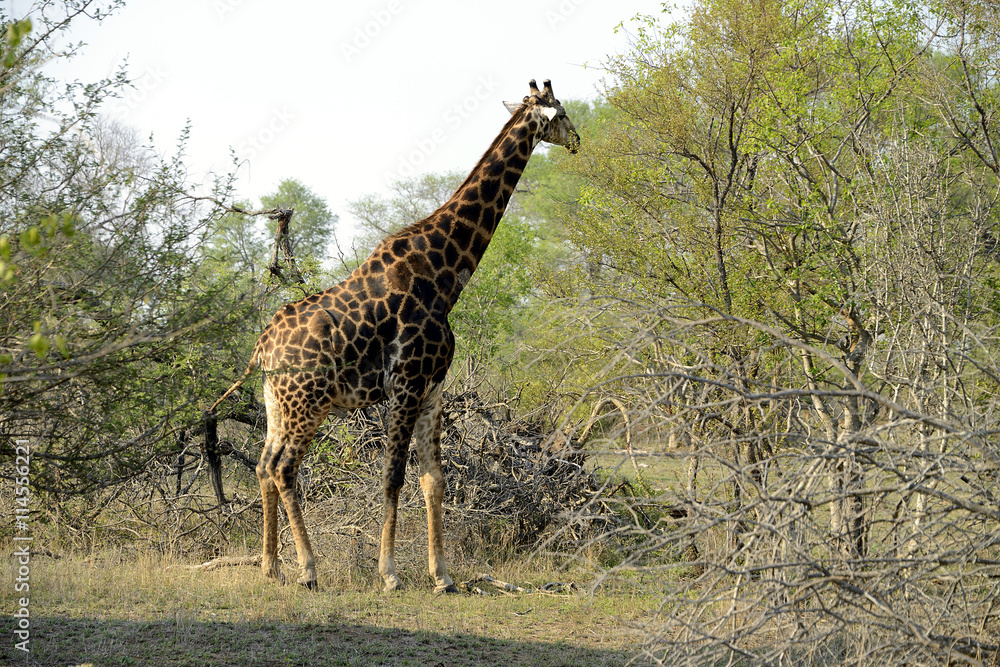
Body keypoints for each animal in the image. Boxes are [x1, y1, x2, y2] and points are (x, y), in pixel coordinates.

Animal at [210, 79, 580, 593]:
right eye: (561, 112)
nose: (577, 139)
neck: (445, 276)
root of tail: (261, 349)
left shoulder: (433, 387)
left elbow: (434, 478)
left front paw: (441, 575)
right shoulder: (405, 382)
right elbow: (393, 477)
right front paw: (389, 573)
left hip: (276, 403)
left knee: (264, 465)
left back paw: (271, 566)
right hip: (308, 402)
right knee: (284, 468)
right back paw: (307, 569)